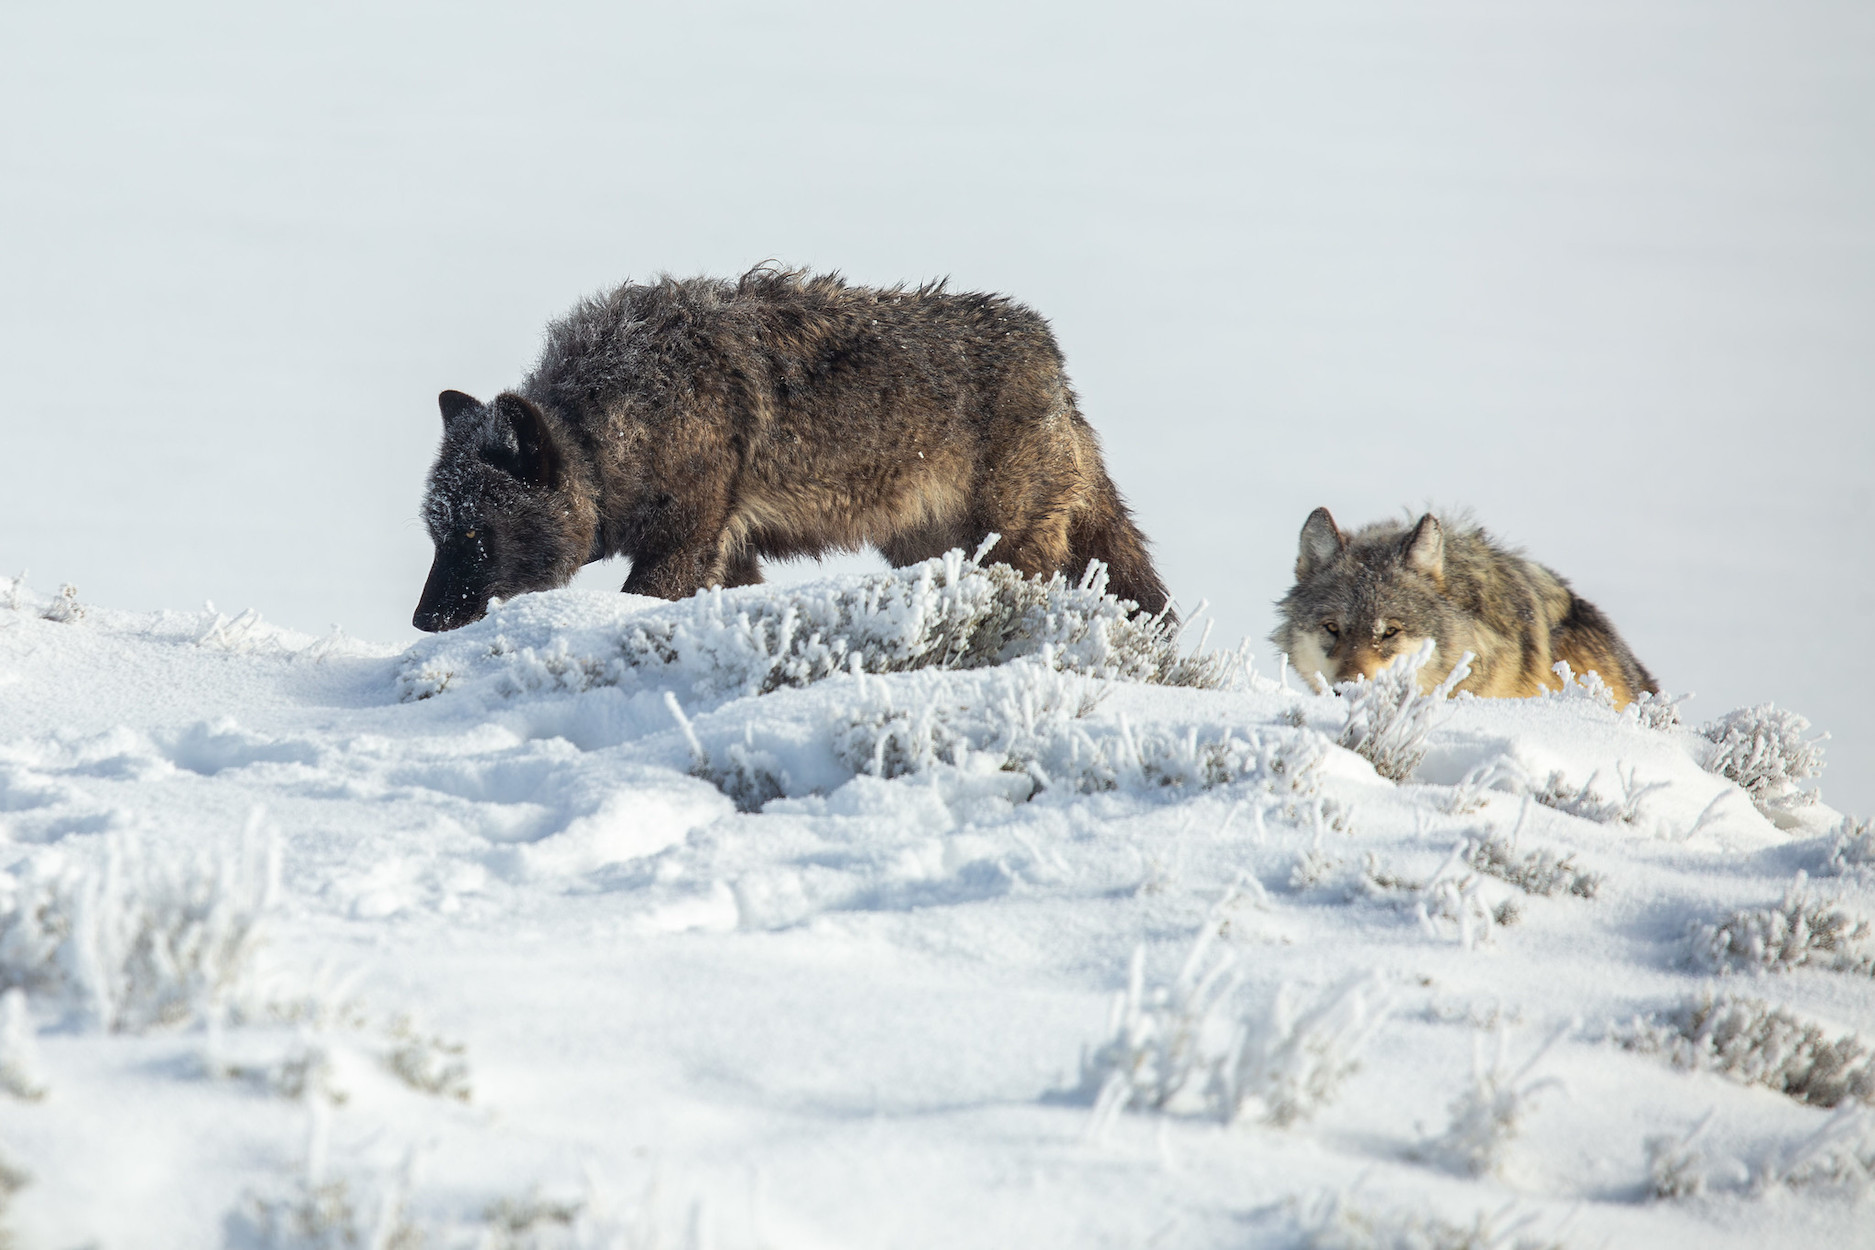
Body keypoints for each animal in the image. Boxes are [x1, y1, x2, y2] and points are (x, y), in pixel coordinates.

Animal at [413, 266, 1170, 632]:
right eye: (438, 534)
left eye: (478, 533)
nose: (423, 621)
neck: (615, 429)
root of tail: (1055, 365)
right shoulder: (727, 553)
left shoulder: (680, 548)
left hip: (1004, 549)